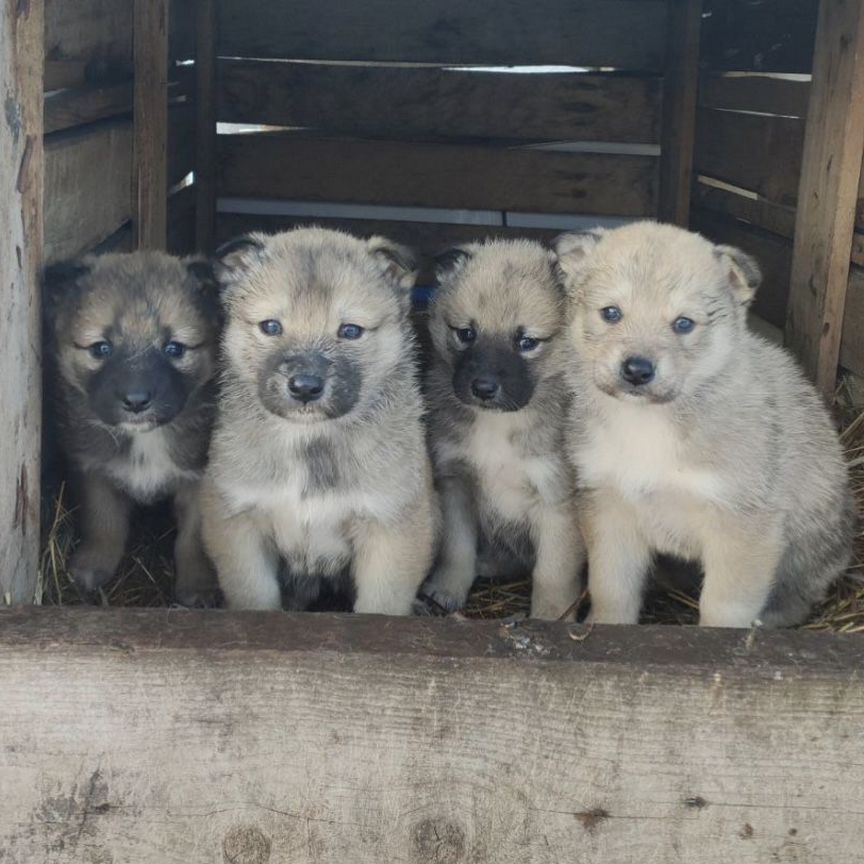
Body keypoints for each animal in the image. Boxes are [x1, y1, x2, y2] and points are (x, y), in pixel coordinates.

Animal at [44, 250, 221, 604]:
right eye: (101, 348)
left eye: (174, 348)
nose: (137, 401)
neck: (145, 440)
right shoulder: (93, 470)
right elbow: (103, 522)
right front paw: (93, 564)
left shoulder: (199, 479)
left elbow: (193, 540)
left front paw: (197, 584)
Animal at [198, 224, 436, 616]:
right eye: (271, 326)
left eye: (350, 331)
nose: (305, 387)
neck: (309, 440)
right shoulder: (239, 526)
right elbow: (254, 598)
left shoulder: (391, 528)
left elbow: (380, 607)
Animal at [420, 240, 588, 616]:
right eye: (466, 334)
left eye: (527, 342)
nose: (483, 388)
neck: (498, 423)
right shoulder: (456, 484)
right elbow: (457, 548)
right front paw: (447, 589)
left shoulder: (557, 503)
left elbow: (552, 573)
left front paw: (549, 616)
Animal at [556, 221, 852, 628]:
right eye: (611, 313)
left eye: (683, 323)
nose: (637, 369)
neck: (648, 424)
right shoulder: (608, 508)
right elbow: (612, 588)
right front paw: (606, 626)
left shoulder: (742, 525)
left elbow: (723, 608)